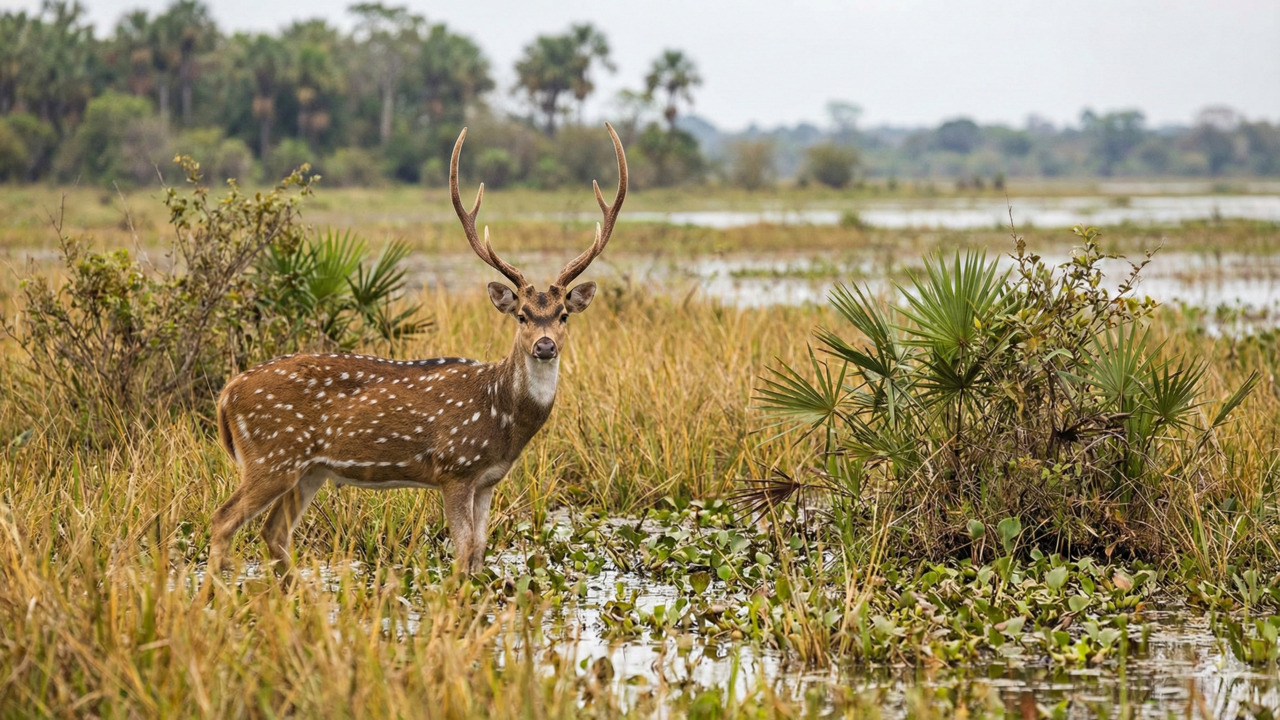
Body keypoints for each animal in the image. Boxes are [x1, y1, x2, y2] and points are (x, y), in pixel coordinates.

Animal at [206, 123, 627, 577]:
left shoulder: (488, 479)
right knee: (223, 520)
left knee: (273, 532)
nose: (545, 345)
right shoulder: (455, 467)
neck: (503, 416)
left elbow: (480, 549)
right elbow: (463, 550)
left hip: (308, 470)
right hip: (272, 456)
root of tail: (227, 395)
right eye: (522, 315)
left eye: (563, 314)